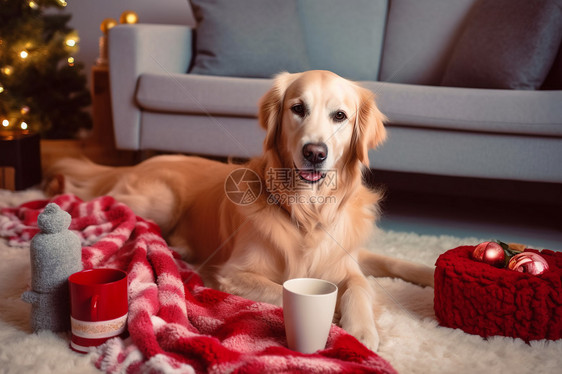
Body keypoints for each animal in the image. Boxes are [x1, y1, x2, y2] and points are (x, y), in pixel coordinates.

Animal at [48, 70, 434, 350]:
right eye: (298, 108)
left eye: (340, 115)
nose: (314, 152)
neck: (307, 213)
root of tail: (136, 165)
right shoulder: (234, 273)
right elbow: (289, 288)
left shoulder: (345, 256)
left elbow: (365, 282)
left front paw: (365, 326)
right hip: (158, 201)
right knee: (99, 203)